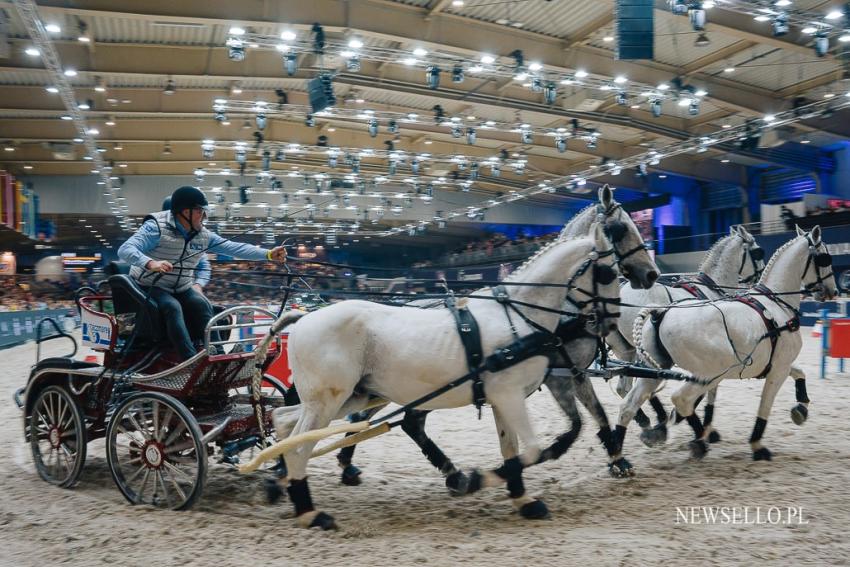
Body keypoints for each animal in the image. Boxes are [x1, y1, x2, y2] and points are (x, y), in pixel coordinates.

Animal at [268, 221, 620, 528]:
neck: (519, 318)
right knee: (299, 444)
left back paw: (282, 482)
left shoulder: (502, 397)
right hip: (329, 400)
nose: (612, 321)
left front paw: (522, 499)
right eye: (610, 272)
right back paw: (309, 510)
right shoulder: (509, 394)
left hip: (351, 396)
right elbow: (532, 449)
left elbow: (511, 450)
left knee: (284, 422)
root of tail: (303, 319)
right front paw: (476, 480)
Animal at [628, 226, 832, 462]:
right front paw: (757, 445)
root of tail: (662, 311)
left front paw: (801, 407)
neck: (776, 303)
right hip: (711, 371)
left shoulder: (774, 364)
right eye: (825, 258)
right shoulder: (778, 370)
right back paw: (696, 439)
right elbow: (765, 404)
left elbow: (799, 373)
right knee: (681, 398)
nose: (833, 291)